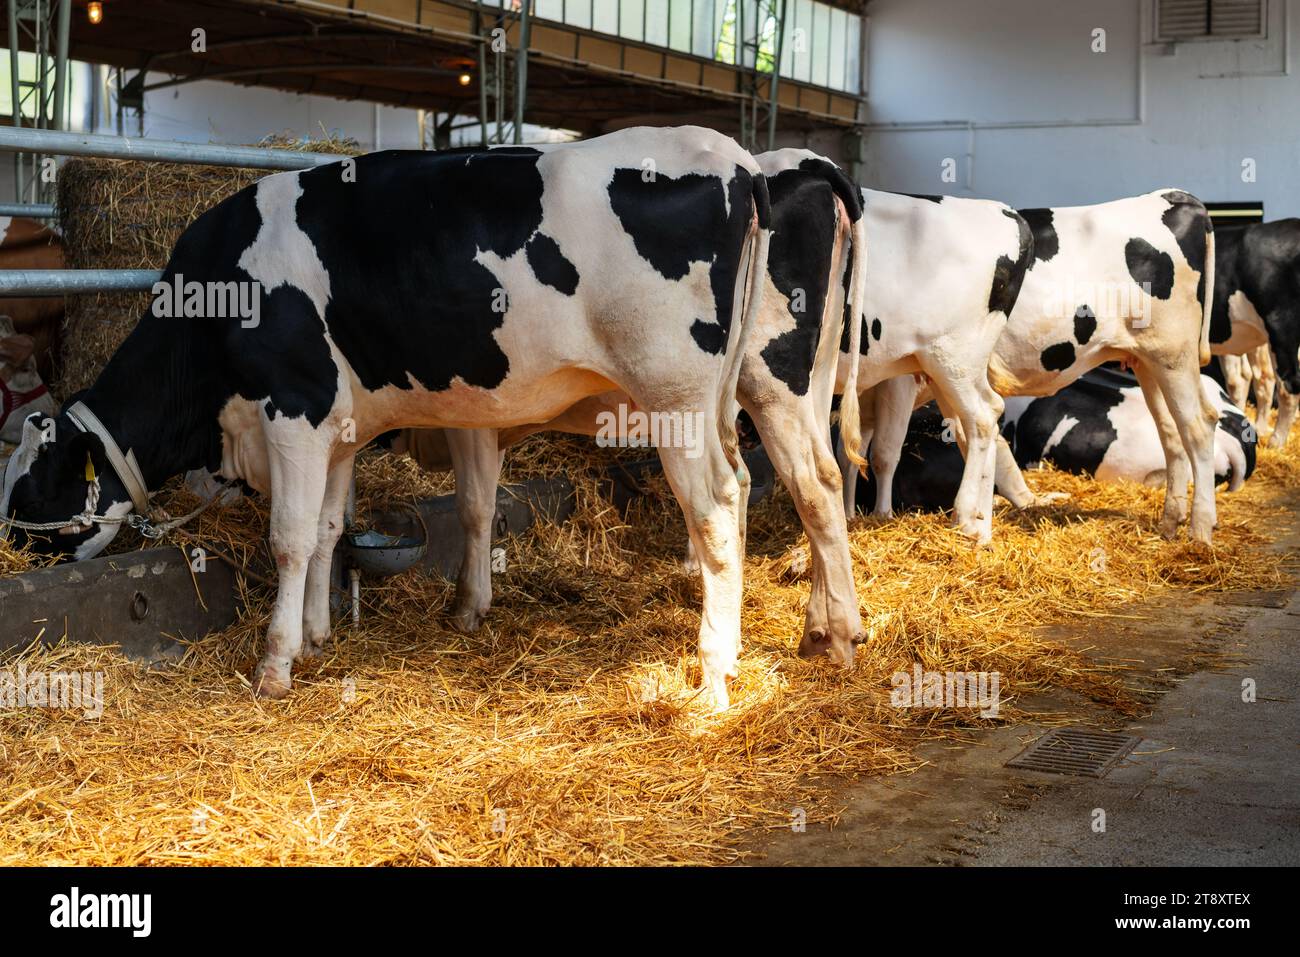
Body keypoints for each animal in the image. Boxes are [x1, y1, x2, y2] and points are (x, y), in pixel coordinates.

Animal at [2, 127, 769, 707]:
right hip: (717, 403)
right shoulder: (336, 430)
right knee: (742, 482)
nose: (10, 553)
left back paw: (711, 676)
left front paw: (275, 664)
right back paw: (729, 654)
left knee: (714, 507)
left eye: (31, 493)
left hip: (675, 399)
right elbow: (324, 532)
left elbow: (288, 537)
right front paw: (316, 637)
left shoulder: (293, 407)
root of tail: (732, 155)